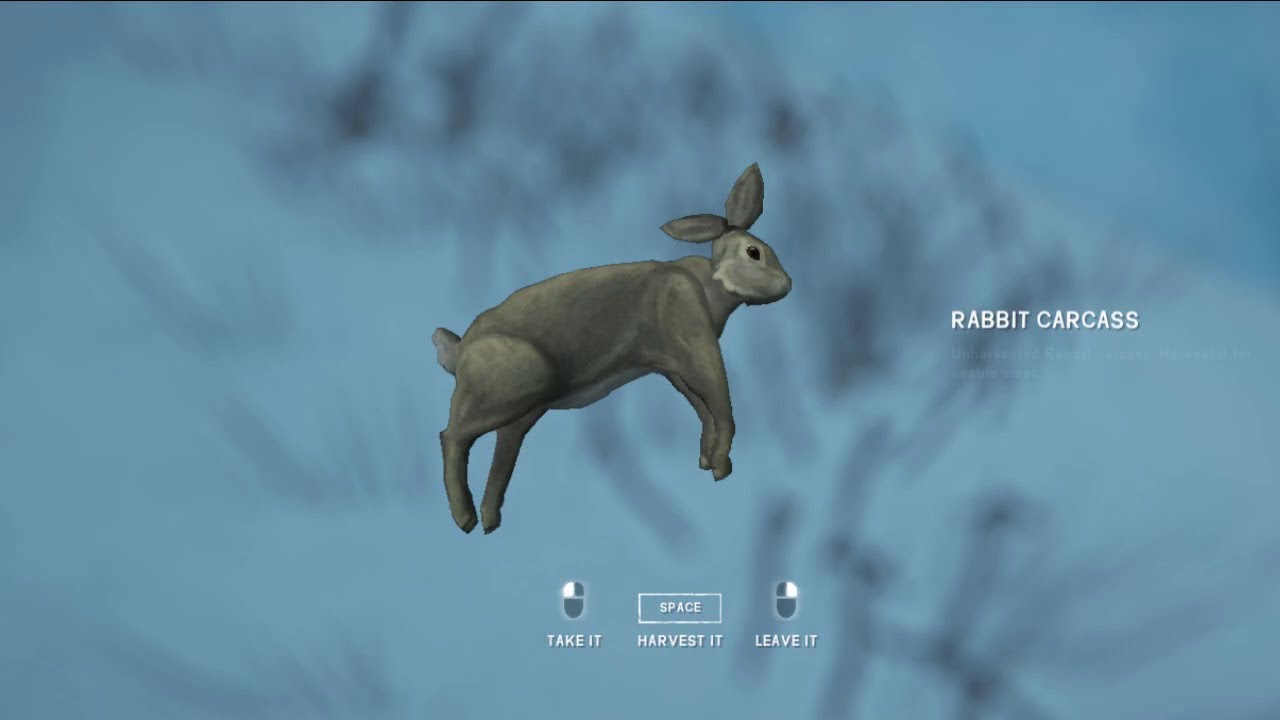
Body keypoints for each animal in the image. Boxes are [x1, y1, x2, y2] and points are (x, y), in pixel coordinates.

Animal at [432, 163, 791, 534]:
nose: (786, 284)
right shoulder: (695, 347)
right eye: (754, 252)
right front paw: (720, 468)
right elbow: (721, 407)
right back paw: (464, 518)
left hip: (523, 410)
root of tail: (459, 352)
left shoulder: (672, 367)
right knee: (452, 437)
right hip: (516, 385)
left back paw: (489, 521)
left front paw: (708, 461)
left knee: (500, 449)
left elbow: (702, 409)